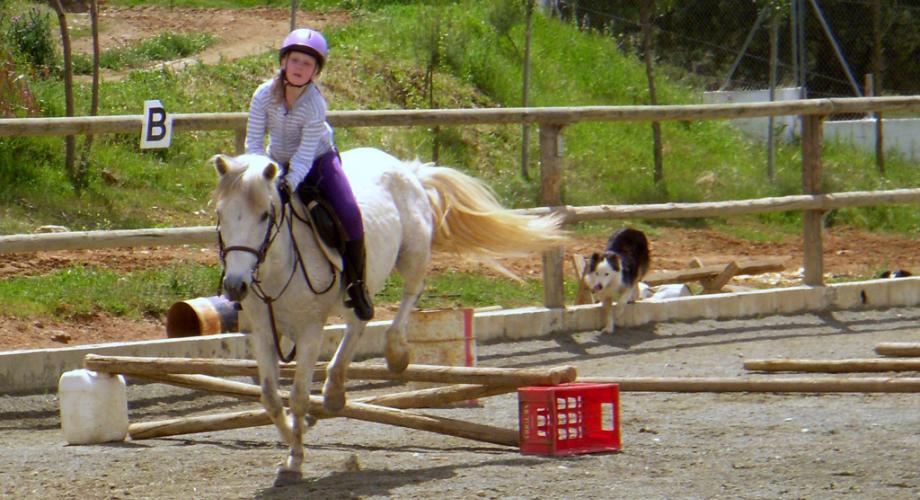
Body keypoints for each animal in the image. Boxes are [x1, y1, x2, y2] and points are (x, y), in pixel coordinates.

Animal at [211, 147, 564, 484]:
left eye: (264, 215)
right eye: (221, 215)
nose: (235, 285)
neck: (278, 264)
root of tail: (408, 169)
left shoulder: (310, 331)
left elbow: (297, 396)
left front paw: (295, 460)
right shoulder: (263, 332)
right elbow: (270, 397)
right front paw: (294, 438)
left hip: (412, 254)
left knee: (410, 293)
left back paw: (395, 354)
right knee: (358, 322)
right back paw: (334, 392)